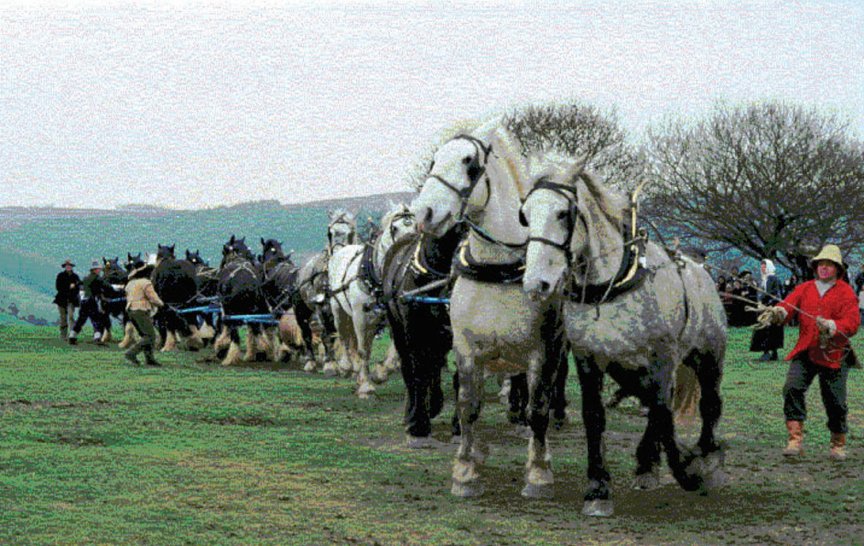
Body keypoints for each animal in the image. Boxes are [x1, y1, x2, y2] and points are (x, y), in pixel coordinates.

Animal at [328, 203, 416, 396]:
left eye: (415, 227)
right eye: (394, 228)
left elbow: (395, 347)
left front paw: (381, 372)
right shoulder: (360, 317)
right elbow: (363, 351)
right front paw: (366, 387)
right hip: (338, 309)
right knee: (344, 336)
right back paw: (347, 366)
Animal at [408, 125, 572, 500]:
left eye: (469, 162)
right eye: (434, 160)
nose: (423, 213)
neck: (497, 269)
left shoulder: (542, 353)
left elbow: (537, 409)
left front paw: (538, 473)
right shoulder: (468, 350)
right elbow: (468, 406)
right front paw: (465, 471)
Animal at [520, 162, 728, 516]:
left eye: (563, 213)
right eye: (525, 214)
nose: (537, 283)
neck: (612, 285)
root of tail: (702, 271)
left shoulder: (661, 360)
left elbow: (664, 413)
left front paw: (688, 470)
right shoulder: (589, 359)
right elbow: (595, 416)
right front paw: (598, 488)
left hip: (707, 357)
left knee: (708, 404)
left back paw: (706, 456)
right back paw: (648, 464)